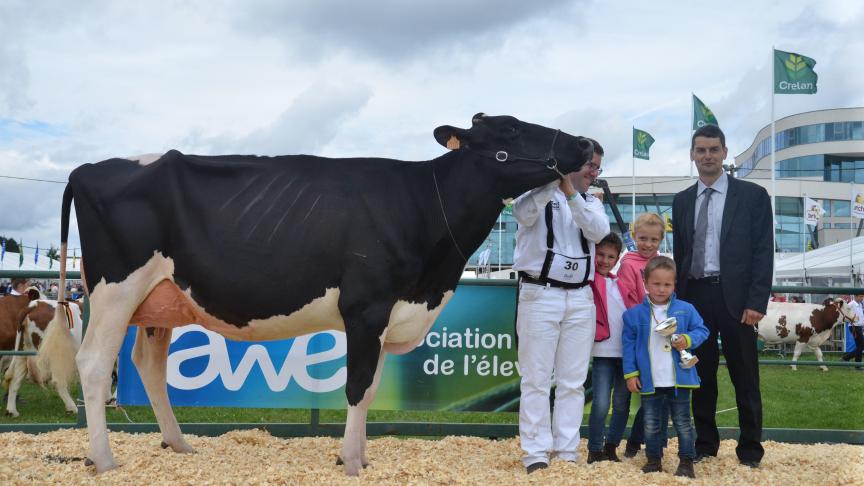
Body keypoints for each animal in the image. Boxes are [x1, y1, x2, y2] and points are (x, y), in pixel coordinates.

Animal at [57, 114, 596, 474]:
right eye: (511, 129)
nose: (585, 142)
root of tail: (86, 168)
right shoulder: (366, 308)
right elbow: (356, 387)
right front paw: (352, 462)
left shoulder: (388, 316)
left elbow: (372, 388)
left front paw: (357, 456)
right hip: (115, 291)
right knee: (94, 362)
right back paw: (103, 460)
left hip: (161, 299)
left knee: (148, 366)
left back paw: (179, 445)